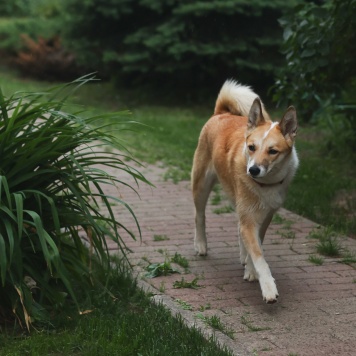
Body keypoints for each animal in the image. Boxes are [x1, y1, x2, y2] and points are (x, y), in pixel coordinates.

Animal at [192, 80, 298, 304]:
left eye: (272, 151)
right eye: (251, 147)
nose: (253, 170)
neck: (264, 184)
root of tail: (221, 113)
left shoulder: (265, 216)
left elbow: (257, 245)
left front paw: (250, 269)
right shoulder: (249, 217)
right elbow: (259, 256)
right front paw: (268, 287)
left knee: (237, 226)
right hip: (201, 184)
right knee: (199, 215)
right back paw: (201, 245)